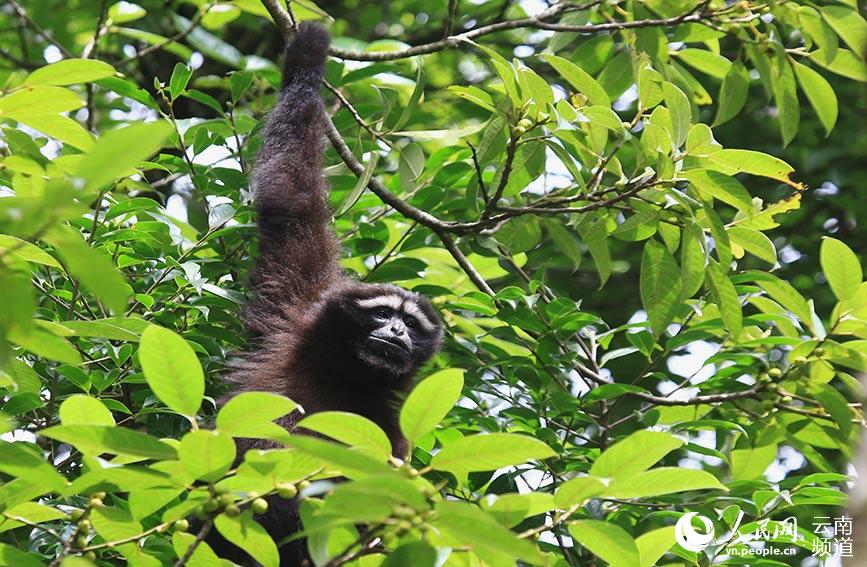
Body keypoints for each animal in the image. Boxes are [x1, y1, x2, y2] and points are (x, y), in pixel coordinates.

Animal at [205, 22, 444, 566]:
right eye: (382, 313)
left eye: (411, 325)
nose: (396, 332)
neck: (343, 374)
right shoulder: (298, 309)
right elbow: (291, 197)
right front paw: (309, 59)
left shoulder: (390, 430)